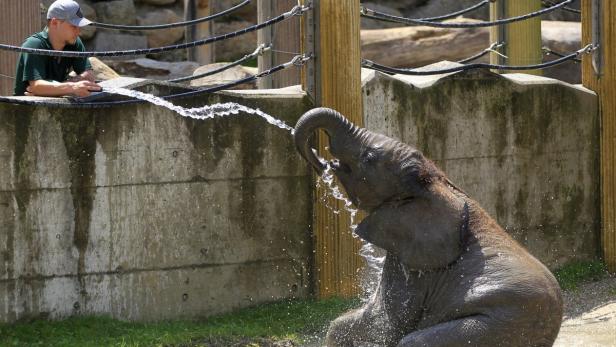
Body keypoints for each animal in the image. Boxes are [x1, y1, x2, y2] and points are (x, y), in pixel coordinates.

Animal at [294, 107, 564, 346]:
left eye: (369, 158)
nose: (321, 164)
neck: (435, 182)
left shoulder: (417, 267)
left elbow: (388, 323)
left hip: (495, 326)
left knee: (415, 341)